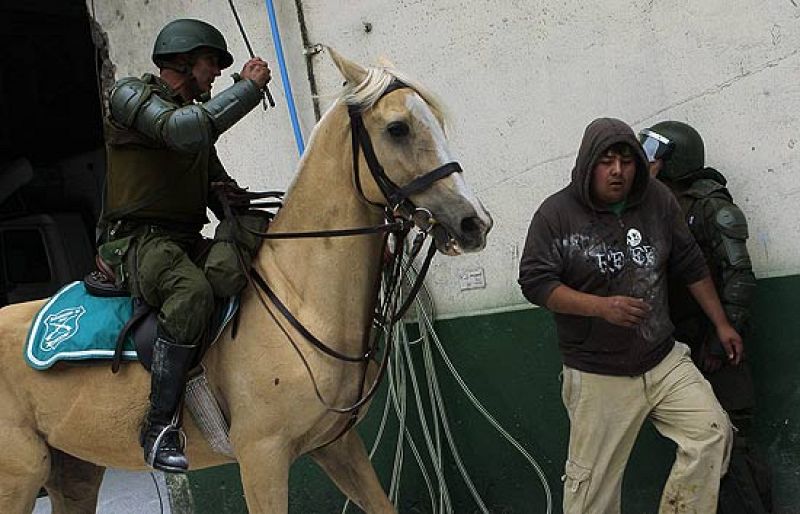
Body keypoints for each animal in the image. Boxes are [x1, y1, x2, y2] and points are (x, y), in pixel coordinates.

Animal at [0, 46, 494, 510]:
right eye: (397, 128)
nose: (474, 223)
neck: (300, 299)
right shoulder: (262, 458)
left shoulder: (337, 447)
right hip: (20, 480)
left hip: (73, 473)